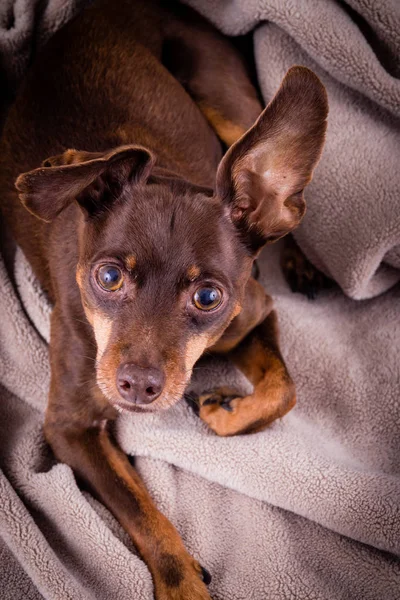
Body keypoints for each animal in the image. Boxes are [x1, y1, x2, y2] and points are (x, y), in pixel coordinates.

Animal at [0, 0, 328, 596]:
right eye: (108, 278)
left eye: (208, 295)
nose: (139, 384)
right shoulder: (68, 426)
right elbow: (138, 507)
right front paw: (184, 584)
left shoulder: (253, 313)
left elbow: (285, 390)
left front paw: (225, 410)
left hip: (229, 101)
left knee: (287, 208)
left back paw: (300, 261)